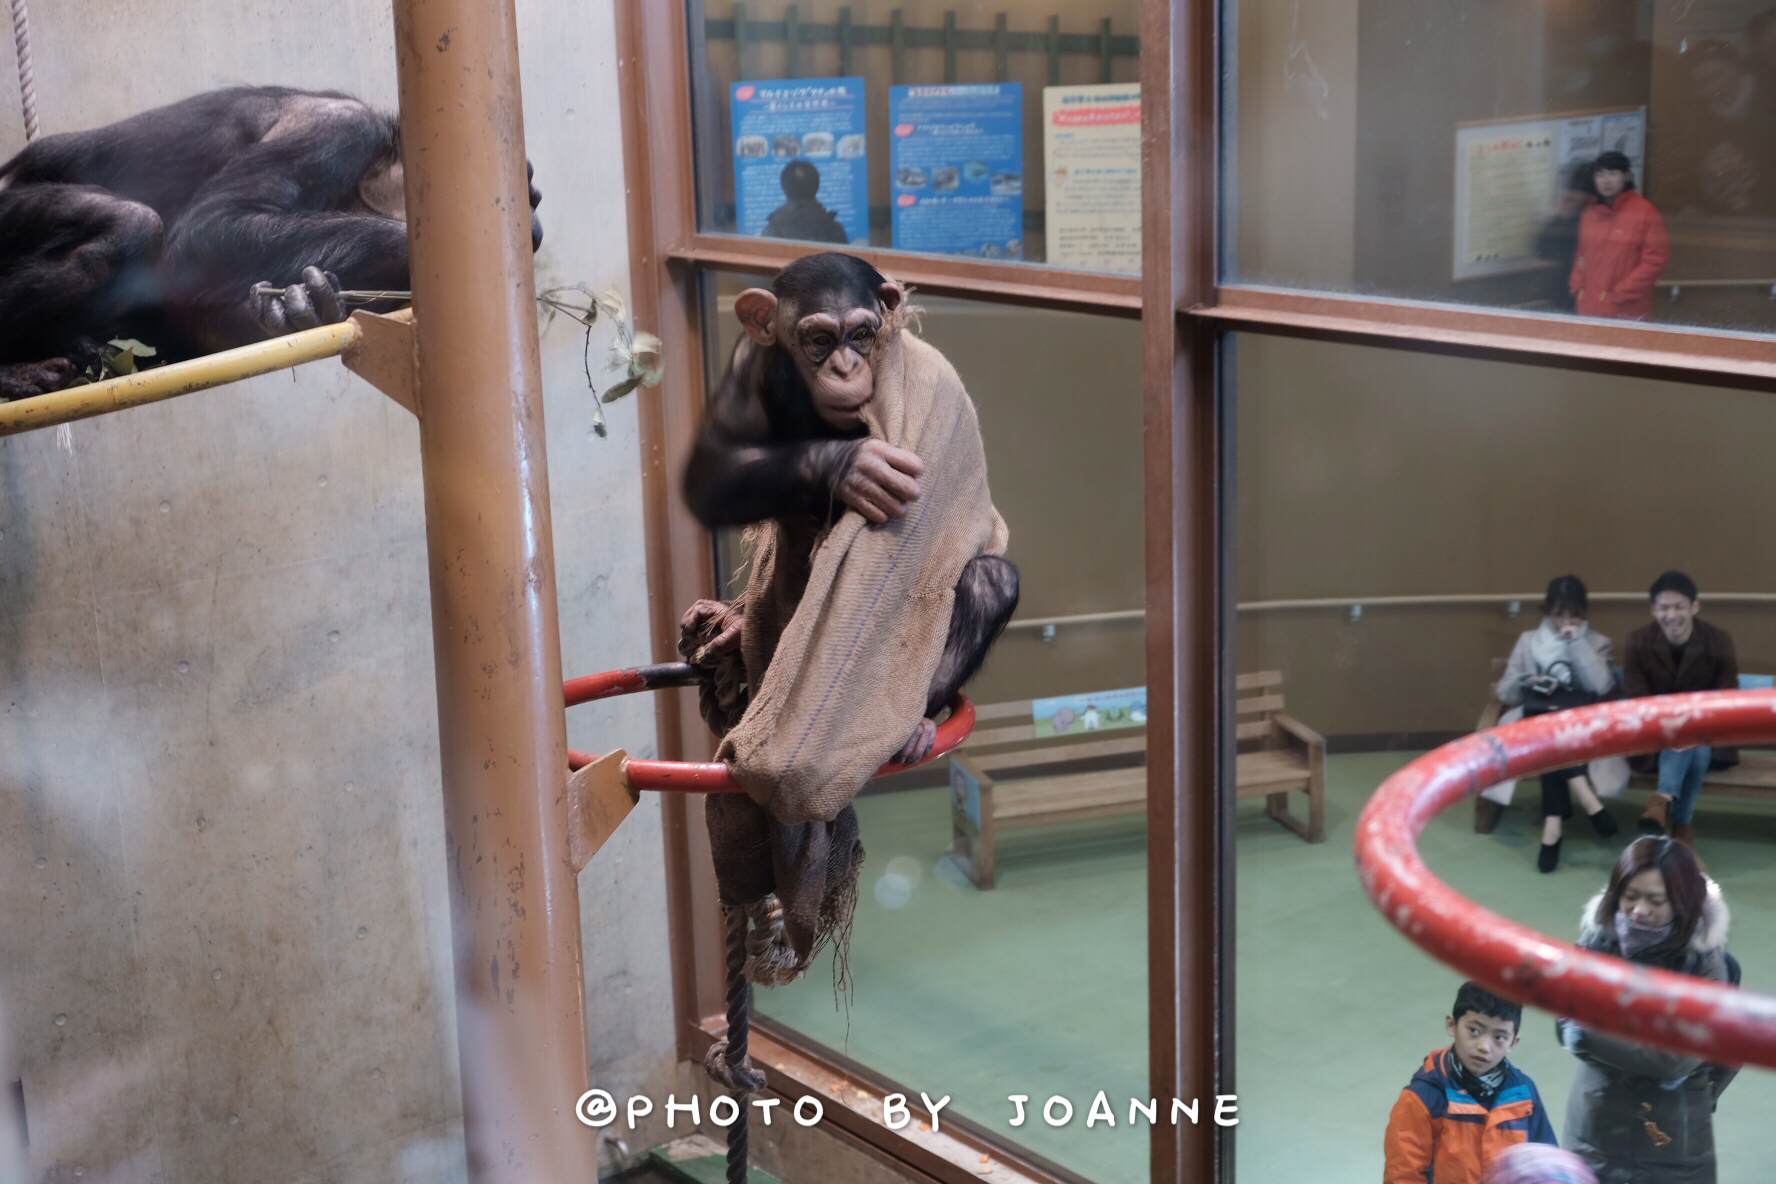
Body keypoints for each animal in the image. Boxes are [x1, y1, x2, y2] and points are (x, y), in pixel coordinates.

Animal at [0, 85, 539, 397]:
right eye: (525, 190)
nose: (532, 217)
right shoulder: (338, 130)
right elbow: (211, 228)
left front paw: (302, 306)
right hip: (9, 211)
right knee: (129, 230)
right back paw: (16, 373)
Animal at [685, 289, 1008, 994]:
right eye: (818, 339)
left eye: (862, 336)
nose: (844, 366)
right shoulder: (748, 368)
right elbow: (712, 470)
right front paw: (847, 469)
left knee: (990, 577)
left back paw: (913, 727)